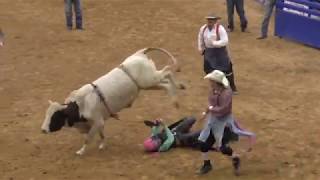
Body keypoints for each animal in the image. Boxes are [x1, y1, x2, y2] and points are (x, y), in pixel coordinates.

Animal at [40, 47, 185, 155]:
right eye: (46, 115)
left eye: (55, 116)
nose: (43, 130)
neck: (81, 104)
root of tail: (139, 54)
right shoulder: (98, 123)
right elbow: (101, 135)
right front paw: (102, 145)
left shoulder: (97, 121)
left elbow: (87, 138)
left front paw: (81, 151)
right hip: (149, 84)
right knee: (166, 81)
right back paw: (178, 91)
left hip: (149, 80)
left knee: (167, 72)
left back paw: (176, 98)